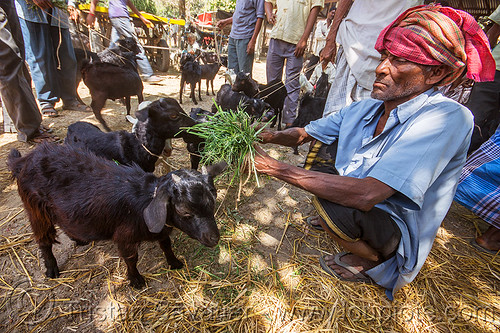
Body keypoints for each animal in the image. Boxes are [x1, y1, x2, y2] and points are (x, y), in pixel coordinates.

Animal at [7, 144, 225, 286]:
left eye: (212, 203)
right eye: (184, 211)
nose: (214, 239)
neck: (145, 200)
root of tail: (23, 160)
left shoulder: (161, 229)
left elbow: (166, 245)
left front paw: (174, 262)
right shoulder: (125, 236)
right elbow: (131, 258)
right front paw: (136, 280)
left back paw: (79, 239)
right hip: (35, 209)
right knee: (43, 238)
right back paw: (52, 269)